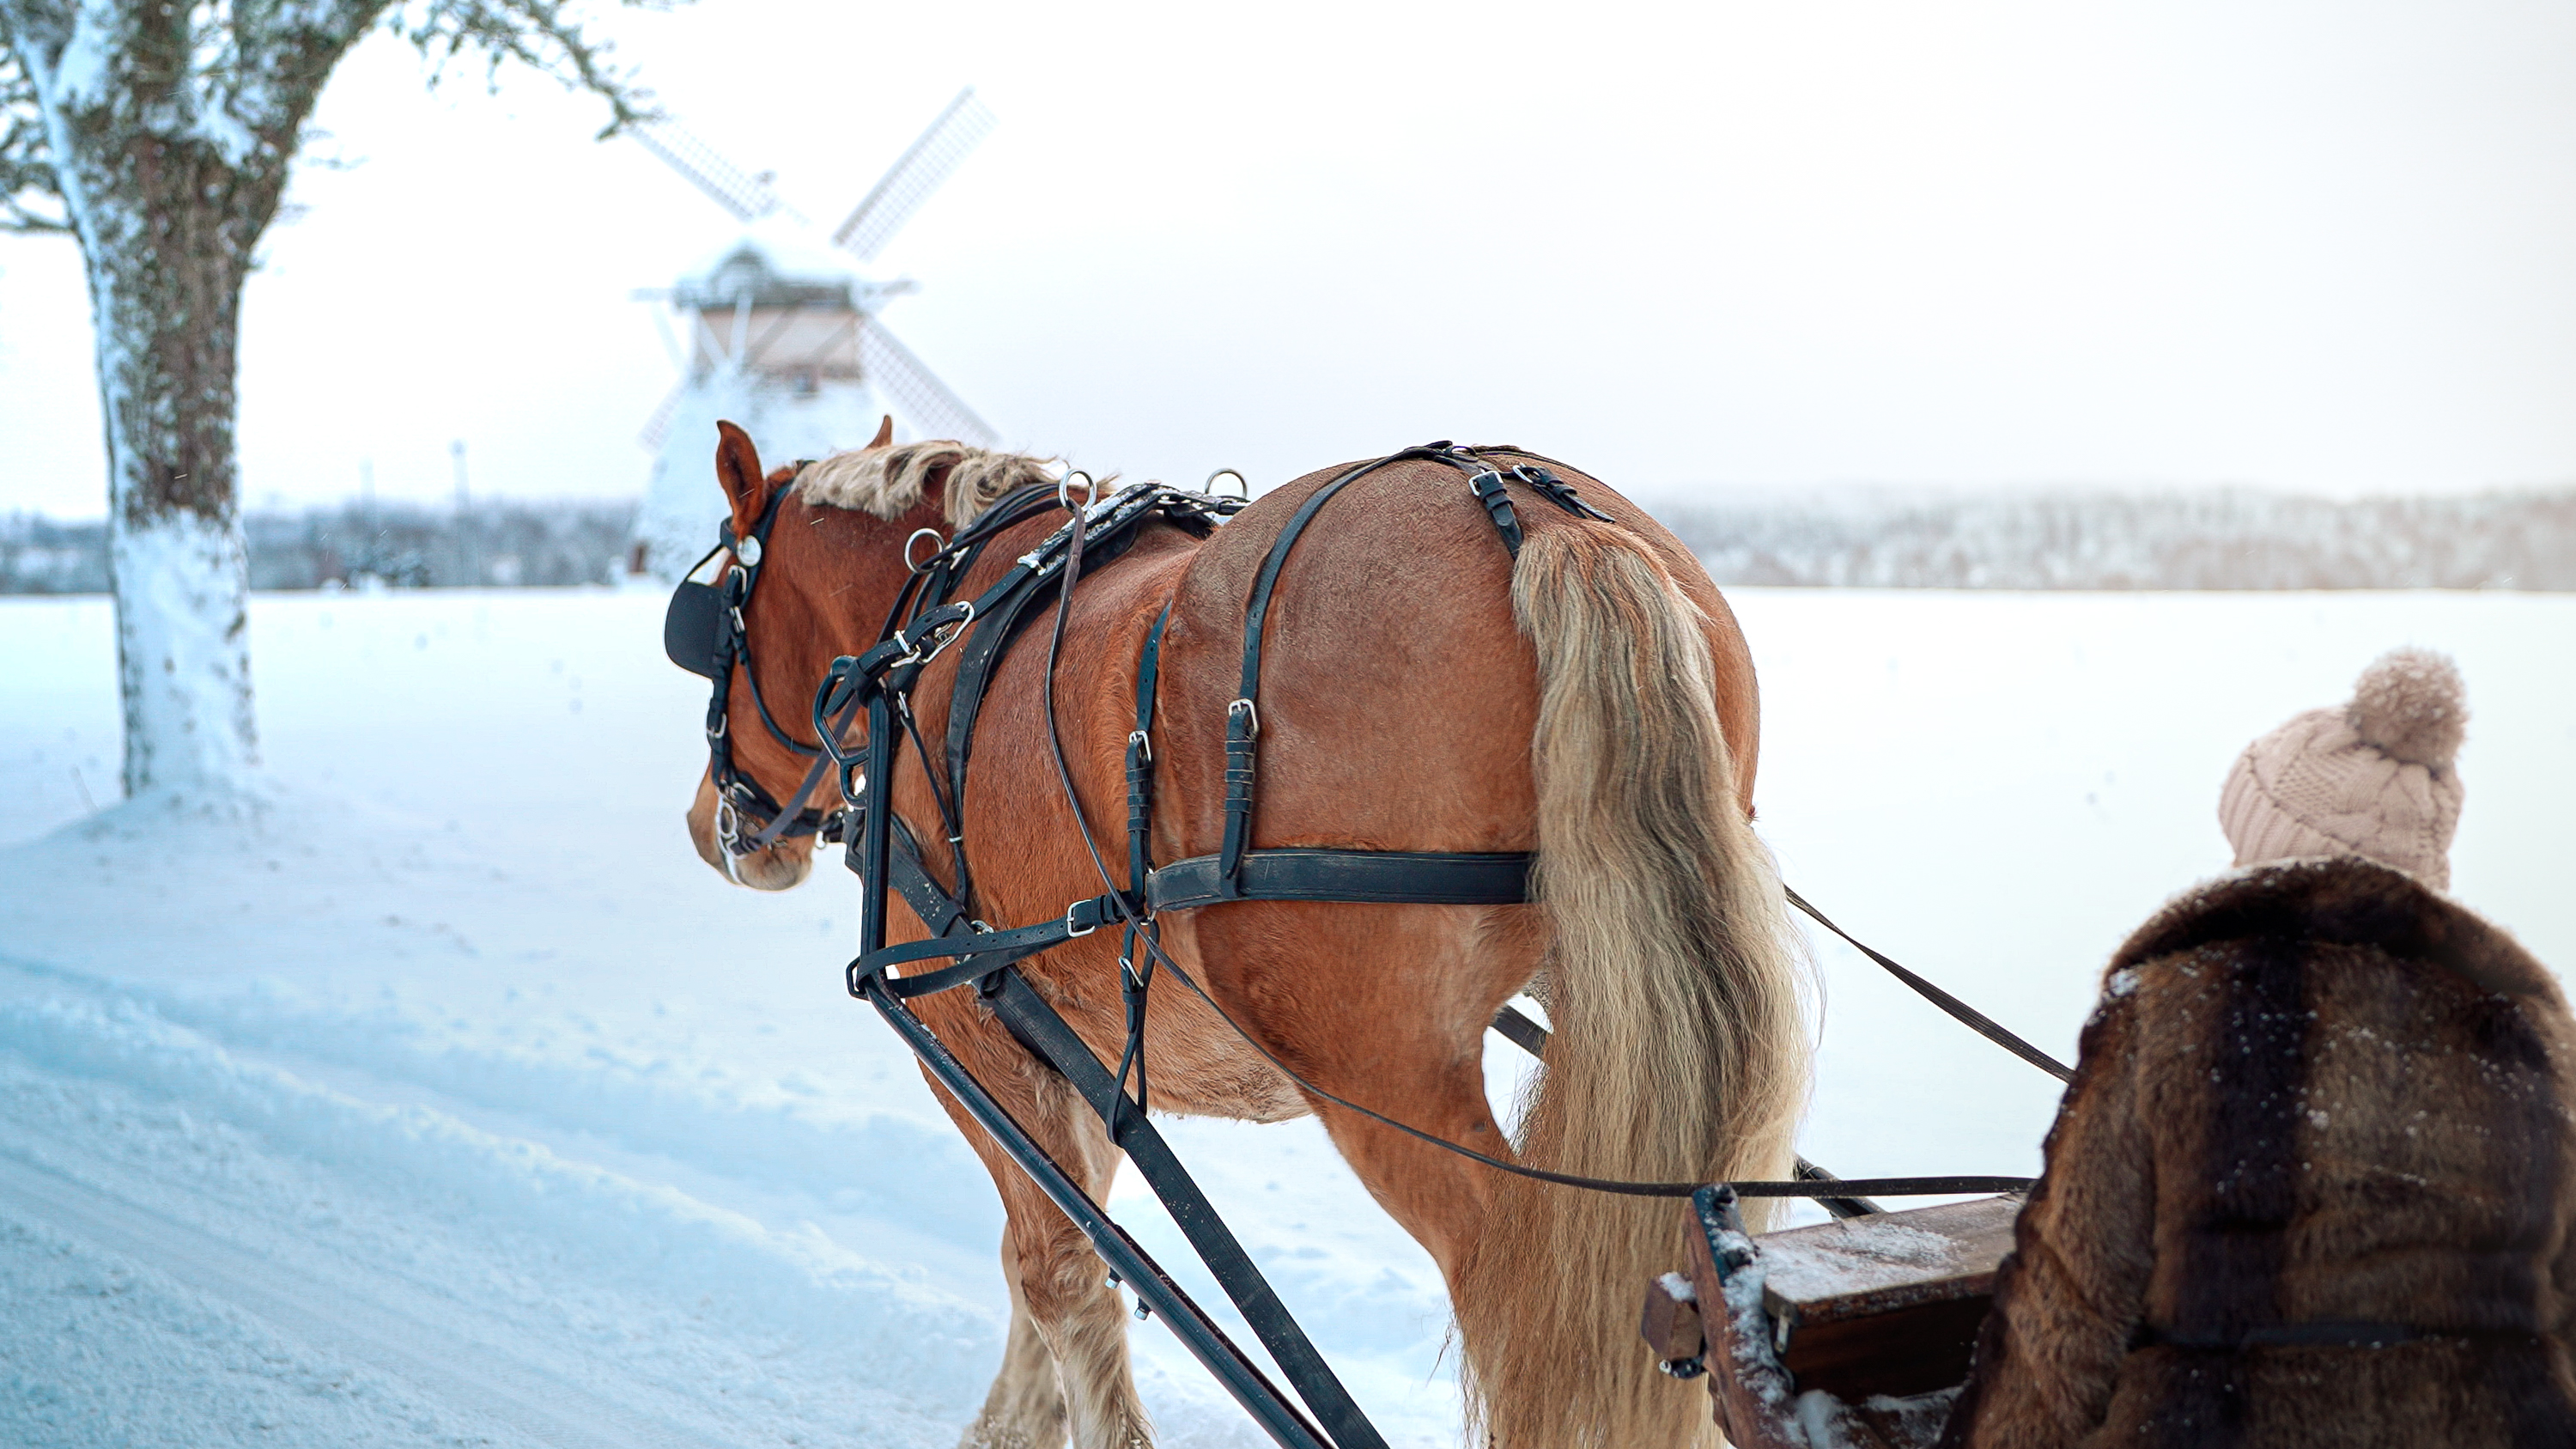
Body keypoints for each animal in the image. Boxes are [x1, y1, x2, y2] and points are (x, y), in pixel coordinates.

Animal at [680, 420, 1814, 1443]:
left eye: (715, 621)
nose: (708, 826)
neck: (932, 627)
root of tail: (1527, 515)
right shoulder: (1077, 1045)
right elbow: (1064, 1235)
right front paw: (1018, 1421)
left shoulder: (966, 1024)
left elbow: (1056, 1271)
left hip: (1379, 1068)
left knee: (1526, 1306)